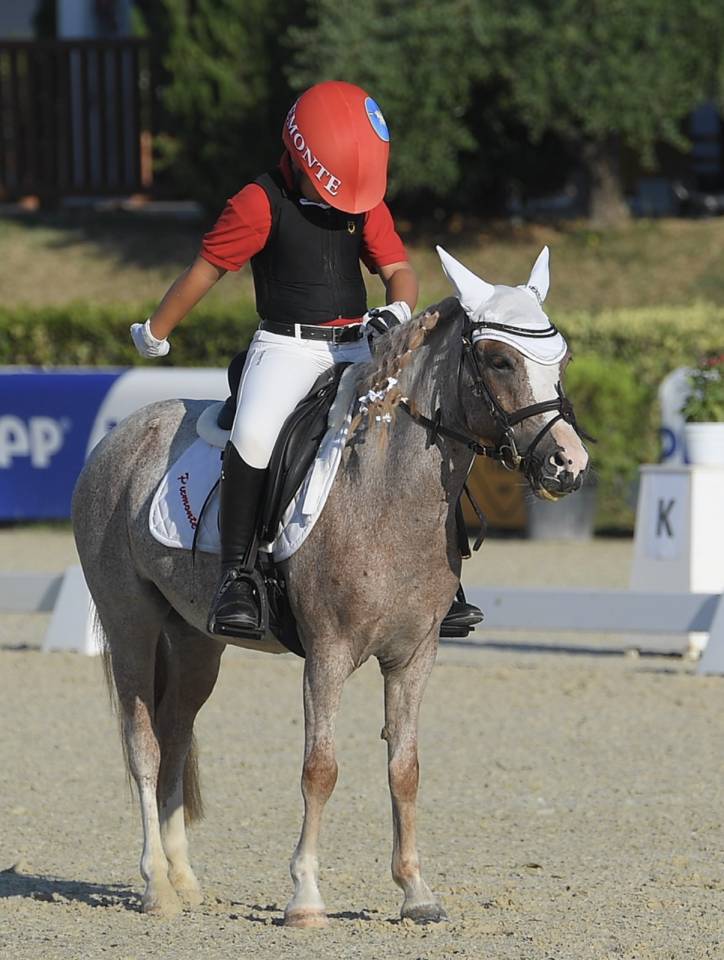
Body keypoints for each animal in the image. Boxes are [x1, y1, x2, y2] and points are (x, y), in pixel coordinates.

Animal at [71, 247, 589, 926]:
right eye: (500, 360)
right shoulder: (328, 653)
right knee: (144, 746)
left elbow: (405, 767)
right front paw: (305, 897)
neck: (389, 495)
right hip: (130, 623)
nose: (568, 465)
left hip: (194, 641)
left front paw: (416, 892)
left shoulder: (415, 656)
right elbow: (320, 767)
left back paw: (184, 880)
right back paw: (157, 885)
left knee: (177, 735)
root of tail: (122, 434)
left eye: (562, 360)